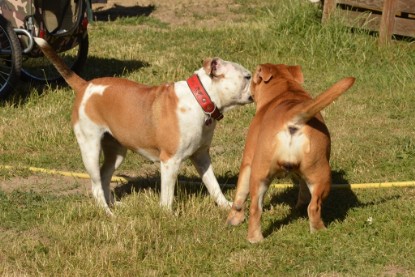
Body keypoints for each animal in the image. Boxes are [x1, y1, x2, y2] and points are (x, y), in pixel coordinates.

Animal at [228, 63, 354, 240]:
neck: (285, 88)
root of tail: (292, 116)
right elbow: (303, 189)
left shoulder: (247, 161)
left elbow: (240, 193)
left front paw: (234, 218)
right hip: (319, 172)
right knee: (313, 205)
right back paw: (317, 231)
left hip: (259, 174)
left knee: (255, 208)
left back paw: (254, 239)